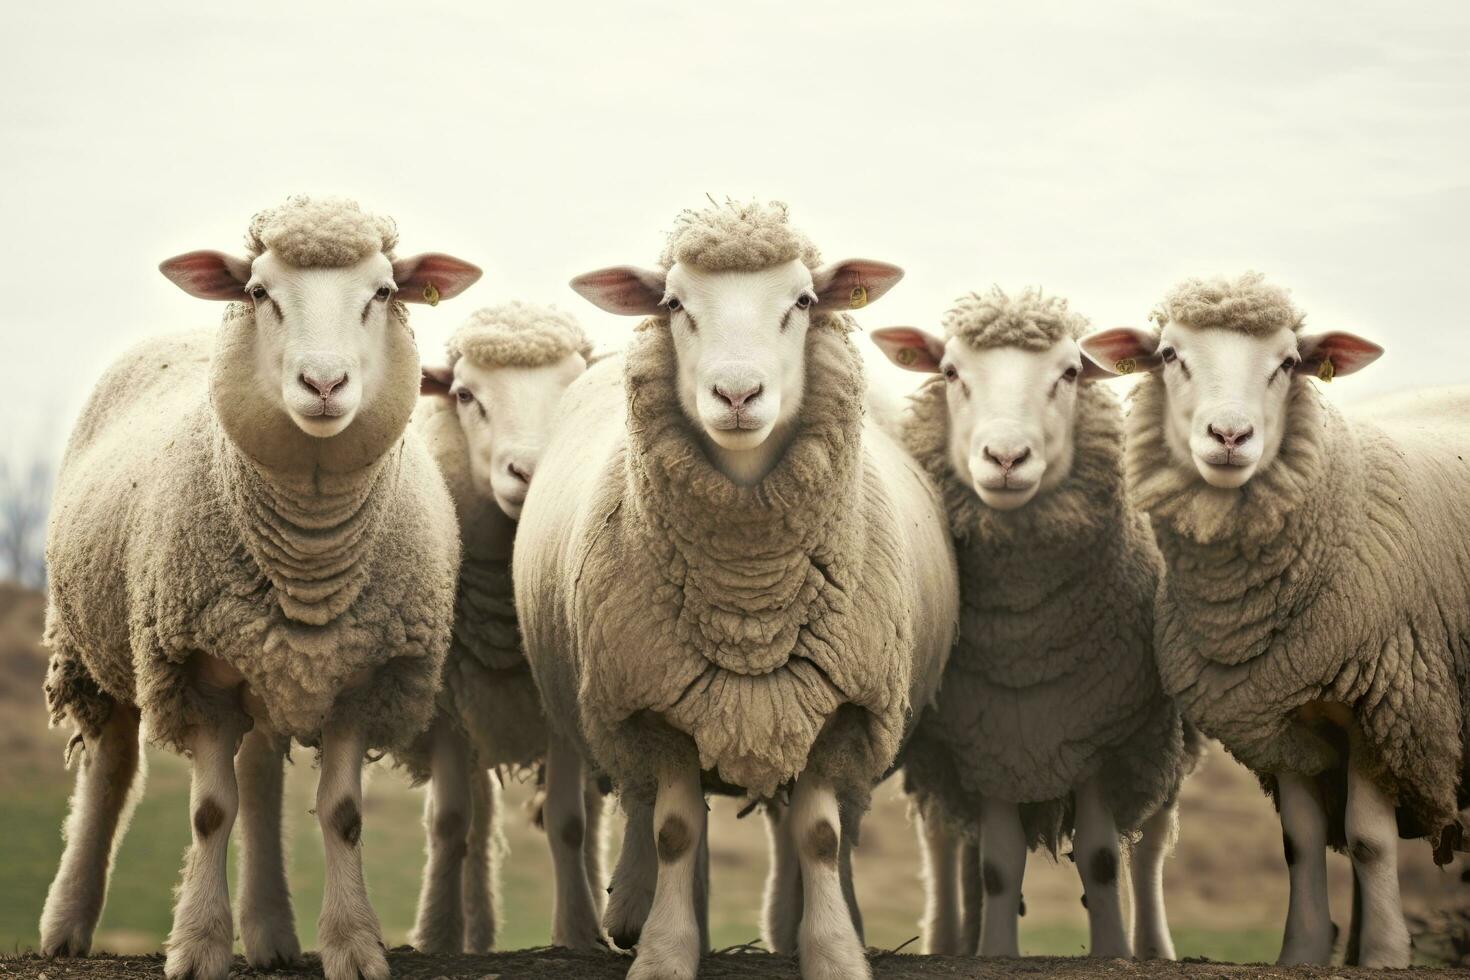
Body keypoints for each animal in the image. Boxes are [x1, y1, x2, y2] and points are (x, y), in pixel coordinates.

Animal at [37, 196, 479, 980]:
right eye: (258, 291)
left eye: (383, 292)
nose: (324, 385)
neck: (309, 552)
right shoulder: (195, 672)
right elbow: (210, 812)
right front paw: (198, 947)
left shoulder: (362, 678)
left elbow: (342, 816)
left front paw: (352, 945)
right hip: (92, 647)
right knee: (110, 771)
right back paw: (66, 924)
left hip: (268, 663)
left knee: (262, 772)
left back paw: (271, 931)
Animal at [399, 304, 599, 952]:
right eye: (465, 394)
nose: (528, 473)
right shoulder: (445, 700)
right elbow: (450, 821)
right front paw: (436, 936)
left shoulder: (560, 700)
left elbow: (569, 822)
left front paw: (579, 935)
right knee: (479, 817)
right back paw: (475, 931)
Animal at [511, 201, 958, 980]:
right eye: (674, 304)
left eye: (803, 301)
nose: (738, 394)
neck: (749, 601)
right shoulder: (653, 702)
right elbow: (675, 829)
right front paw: (664, 952)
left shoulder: (838, 705)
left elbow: (818, 835)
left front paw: (834, 951)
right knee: (643, 807)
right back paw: (634, 910)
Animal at [870, 287, 1193, 963]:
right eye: (950, 372)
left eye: (1069, 373)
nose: (1006, 457)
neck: (1027, 647)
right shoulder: (987, 742)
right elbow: (996, 865)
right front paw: (994, 949)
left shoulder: (1102, 735)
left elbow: (1101, 860)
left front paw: (1111, 951)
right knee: (944, 838)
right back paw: (949, 938)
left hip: (1164, 740)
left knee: (1150, 843)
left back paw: (1153, 946)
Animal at [1081, 271, 1470, 969]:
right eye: (1170, 354)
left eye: (1288, 362)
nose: (1230, 436)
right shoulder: (1278, 709)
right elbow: (1299, 840)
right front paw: (1305, 949)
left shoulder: (1384, 701)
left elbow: (1368, 841)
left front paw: (1384, 955)